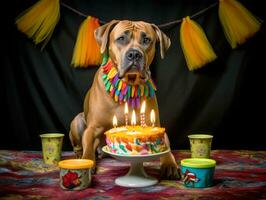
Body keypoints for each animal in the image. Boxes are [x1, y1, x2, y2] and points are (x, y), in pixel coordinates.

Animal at [69, 20, 180, 180]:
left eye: (147, 40)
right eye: (121, 38)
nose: (134, 54)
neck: (129, 84)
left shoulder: (157, 126)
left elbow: (167, 147)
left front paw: (169, 163)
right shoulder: (92, 128)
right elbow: (88, 147)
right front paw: (87, 162)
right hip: (77, 121)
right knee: (79, 145)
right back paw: (79, 156)